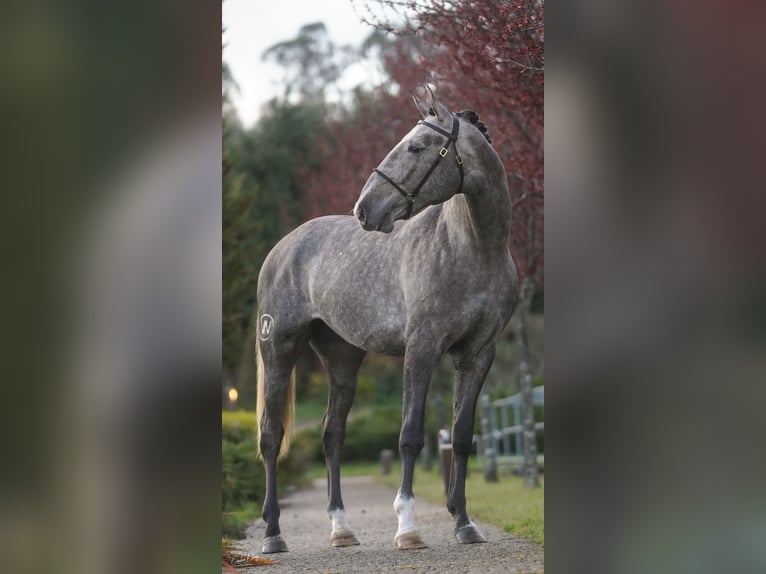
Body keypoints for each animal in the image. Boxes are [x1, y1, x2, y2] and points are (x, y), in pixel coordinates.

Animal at [256, 88, 516, 556]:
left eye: (415, 147)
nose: (365, 209)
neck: (473, 249)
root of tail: (283, 247)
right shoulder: (422, 348)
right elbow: (410, 435)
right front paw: (407, 529)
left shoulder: (476, 354)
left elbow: (462, 435)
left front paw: (464, 523)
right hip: (279, 350)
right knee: (271, 435)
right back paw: (272, 535)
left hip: (342, 360)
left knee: (331, 434)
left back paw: (341, 529)